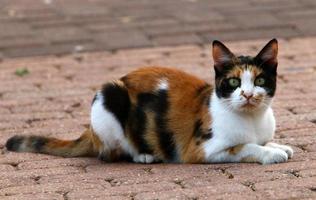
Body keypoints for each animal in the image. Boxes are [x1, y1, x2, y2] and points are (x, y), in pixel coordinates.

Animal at [5, 38, 294, 164]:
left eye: (259, 81)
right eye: (233, 83)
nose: (248, 94)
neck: (252, 120)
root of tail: (89, 133)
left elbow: (261, 141)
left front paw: (277, 145)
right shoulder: (201, 150)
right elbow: (246, 147)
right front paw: (271, 153)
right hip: (109, 95)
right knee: (109, 154)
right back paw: (144, 154)